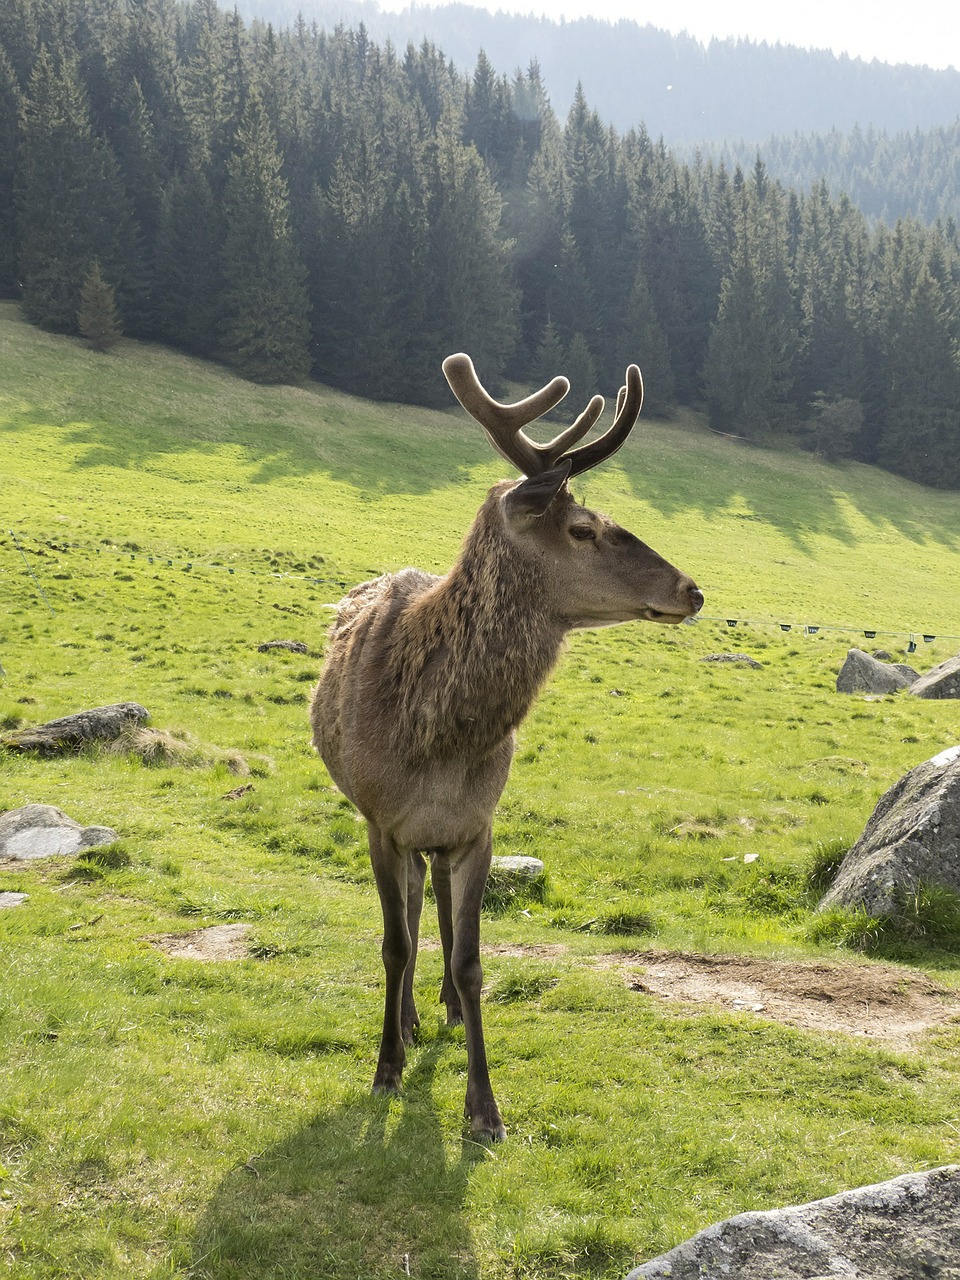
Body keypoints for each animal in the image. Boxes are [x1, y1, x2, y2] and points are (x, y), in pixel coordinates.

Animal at [312, 353, 701, 1141]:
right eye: (582, 529)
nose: (692, 589)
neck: (434, 738)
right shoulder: (379, 822)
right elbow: (393, 942)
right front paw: (385, 1068)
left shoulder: (478, 826)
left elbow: (470, 959)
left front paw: (484, 1109)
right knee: (409, 913)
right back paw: (406, 1022)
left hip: (442, 839)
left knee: (432, 902)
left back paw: (444, 1013)